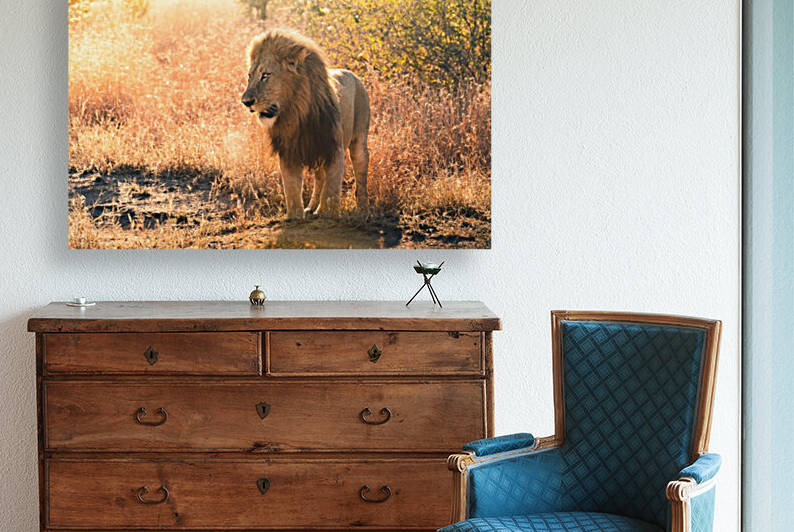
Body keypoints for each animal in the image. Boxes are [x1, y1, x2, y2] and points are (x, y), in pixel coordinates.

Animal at [241, 29, 370, 220]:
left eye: (265, 75)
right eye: (250, 76)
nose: (245, 101)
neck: (296, 114)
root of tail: (351, 73)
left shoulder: (334, 149)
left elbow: (331, 190)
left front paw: (329, 215)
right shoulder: (289, 153)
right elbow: (292, 190)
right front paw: (295, 217)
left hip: (359, 139)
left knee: (360, 170)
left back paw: (362, 208)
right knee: (319, 178)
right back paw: (312, 208)